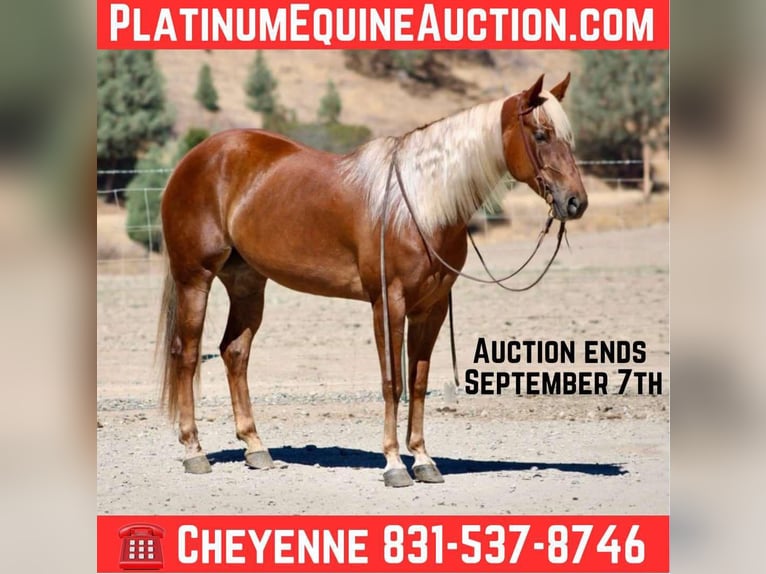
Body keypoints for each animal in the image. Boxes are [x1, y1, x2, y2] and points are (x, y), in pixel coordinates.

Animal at [157, 73, 587, 487]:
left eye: (568, 138)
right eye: (540, 134)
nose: (575, 202)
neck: (417, 205)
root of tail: (194, 159)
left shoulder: (430, 309)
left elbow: (418, 382)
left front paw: (424, 460)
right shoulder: (388, 303)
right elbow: (392, 382)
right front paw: (394, 464)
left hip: (247, 284)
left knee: (234, 353)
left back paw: (255, 448)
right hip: (195, 277)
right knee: (187, 354)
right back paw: (194, 451)